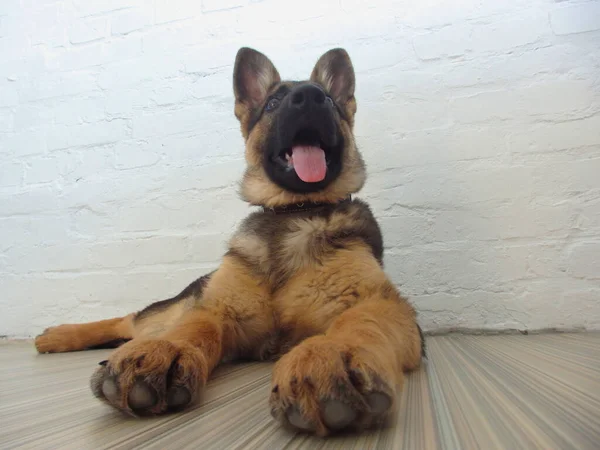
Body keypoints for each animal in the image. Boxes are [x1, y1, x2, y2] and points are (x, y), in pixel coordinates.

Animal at [35, 46, 424, 436]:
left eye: (328, 100)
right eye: (274, 102)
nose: (311, 96)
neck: (295, 210)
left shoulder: (381, 303)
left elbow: (360, 321)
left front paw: (331, 351)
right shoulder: (216, 310)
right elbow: (195, 327)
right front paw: (166, 350)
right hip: (174, 306)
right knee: (131, 320)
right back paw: (58, 336)